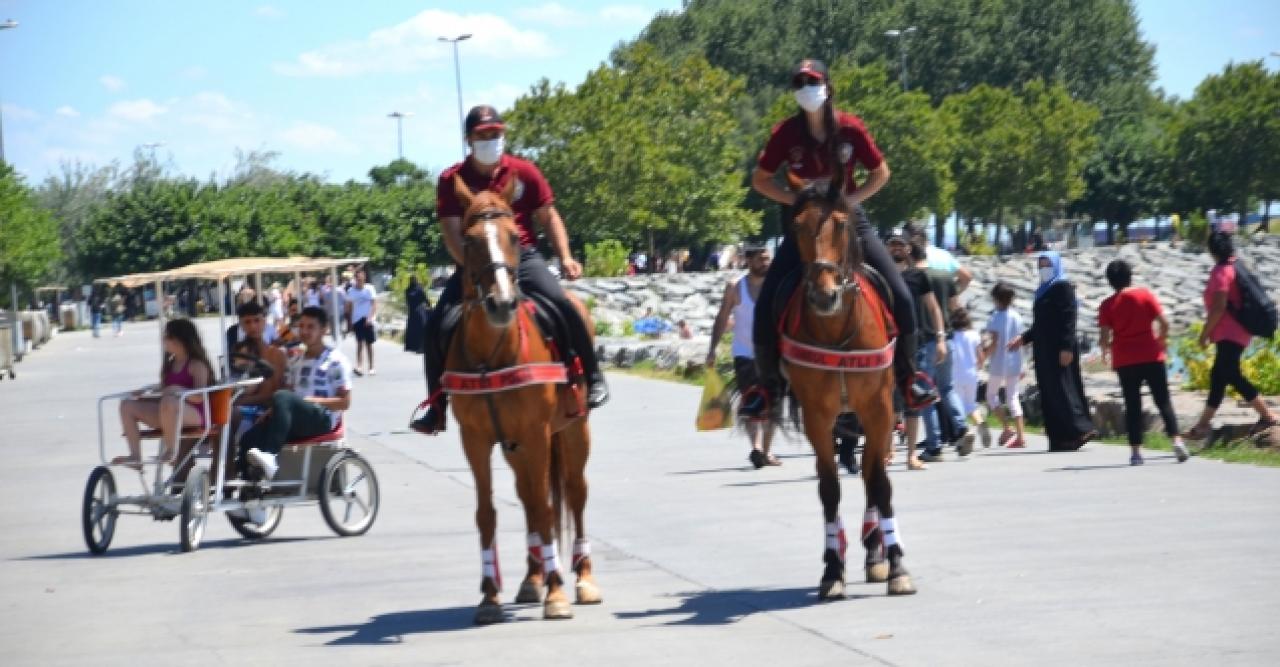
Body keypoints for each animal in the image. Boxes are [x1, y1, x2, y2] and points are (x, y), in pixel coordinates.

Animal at [448, 174, 601, 622]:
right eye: (469, 240)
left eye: (515, 235)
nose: (501, 303)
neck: (493, 353)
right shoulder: (475, 440)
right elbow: (488, 514)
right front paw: (489, 597)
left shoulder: (537, 433)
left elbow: (548, 510)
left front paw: (558, 594)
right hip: (516, 447)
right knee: (528, 498)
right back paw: (533, 577)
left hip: (573, 431)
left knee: (574, 493)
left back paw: (582, 578)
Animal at [778, 170, 911, 599]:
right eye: (797, 227)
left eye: (840, 223)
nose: (824, 295)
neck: (836, 331)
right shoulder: (817, 417)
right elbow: (829, 489)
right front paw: (832, 568)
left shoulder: (880, 409)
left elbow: (880, 484)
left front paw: (897, 565)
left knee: (872, 474)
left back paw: (876, 552)